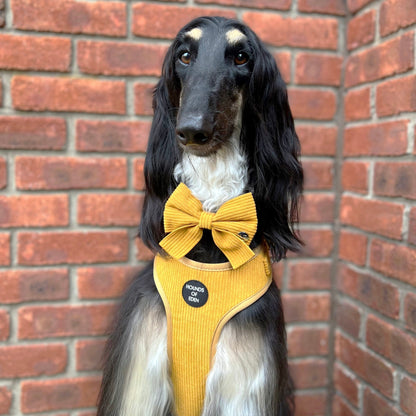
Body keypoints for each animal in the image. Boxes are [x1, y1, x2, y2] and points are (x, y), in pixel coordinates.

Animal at [96, 15, 302, 416]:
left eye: (241, 57)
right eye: (185, 55)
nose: (192, 130)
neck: (208, 224)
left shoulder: (246, 380)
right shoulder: (139, 376)